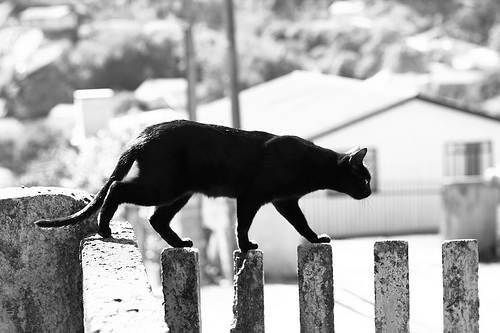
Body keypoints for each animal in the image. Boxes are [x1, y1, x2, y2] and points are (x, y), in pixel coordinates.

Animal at [35, 120, 372, 250]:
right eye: (366, 178)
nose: (370, 190)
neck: (310, 164)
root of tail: (143, 134)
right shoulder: (252, 197)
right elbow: (242, 225)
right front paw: (246, 247)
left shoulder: (283, 201)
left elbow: (301, 224)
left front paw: (315, 239)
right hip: (163, 187)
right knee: (118, 188)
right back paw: (104, 229)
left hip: (180, 194)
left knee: (156, 218)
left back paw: (179, 243)